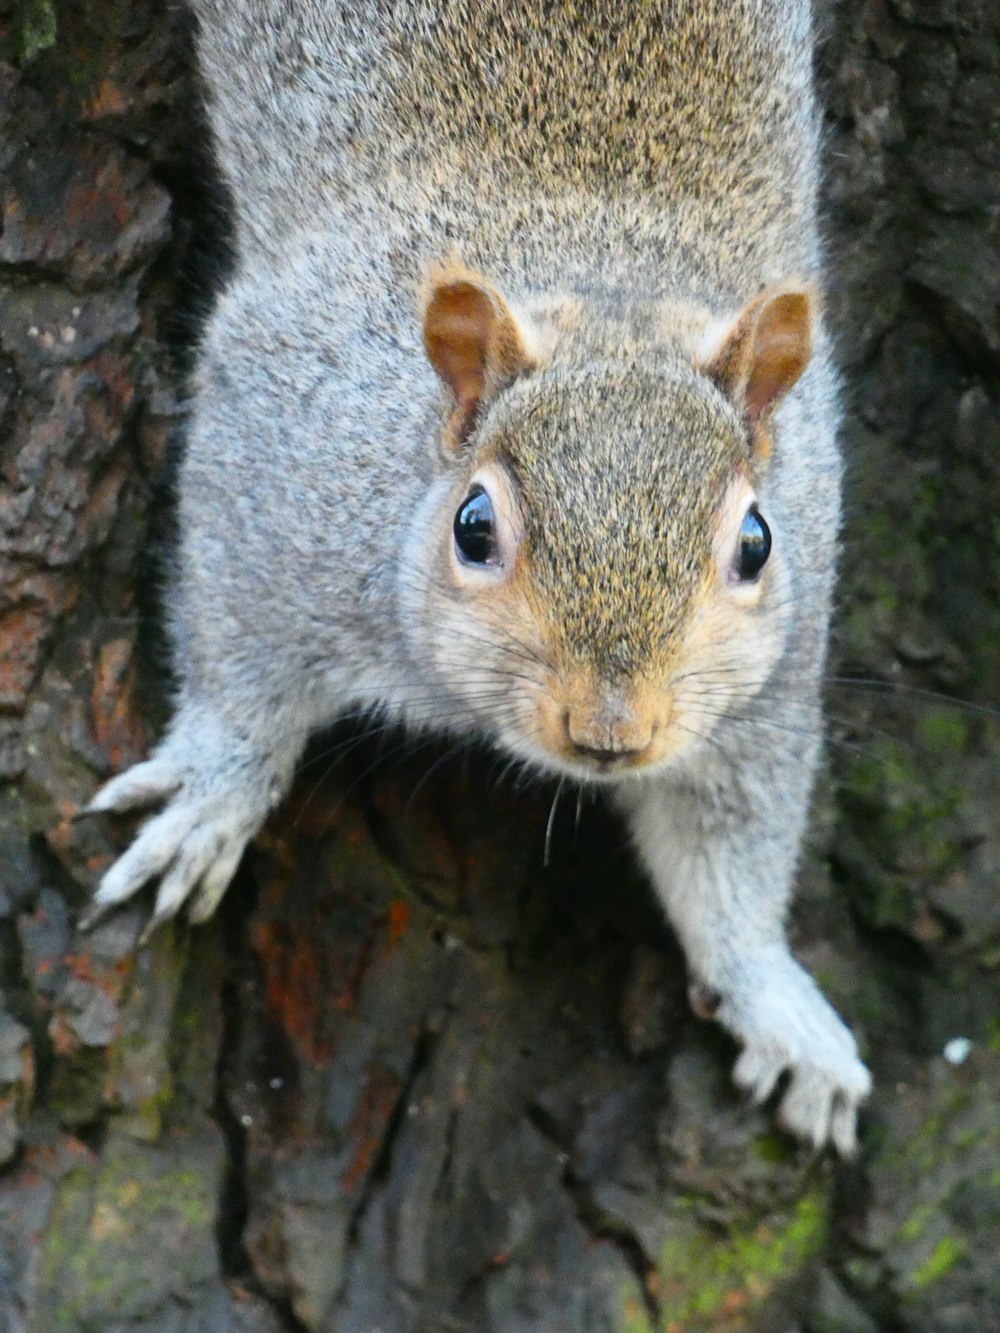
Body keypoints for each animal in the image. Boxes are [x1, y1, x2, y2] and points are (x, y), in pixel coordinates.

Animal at [82, 0, 874, 1151]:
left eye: (757, 545)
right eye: (473, 528)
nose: (610, 733)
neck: (608, 292)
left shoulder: (768, 679)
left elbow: (729, 832)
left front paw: (774, 997)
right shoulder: (273, 468)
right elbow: (238, 656)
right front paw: (217, 792)